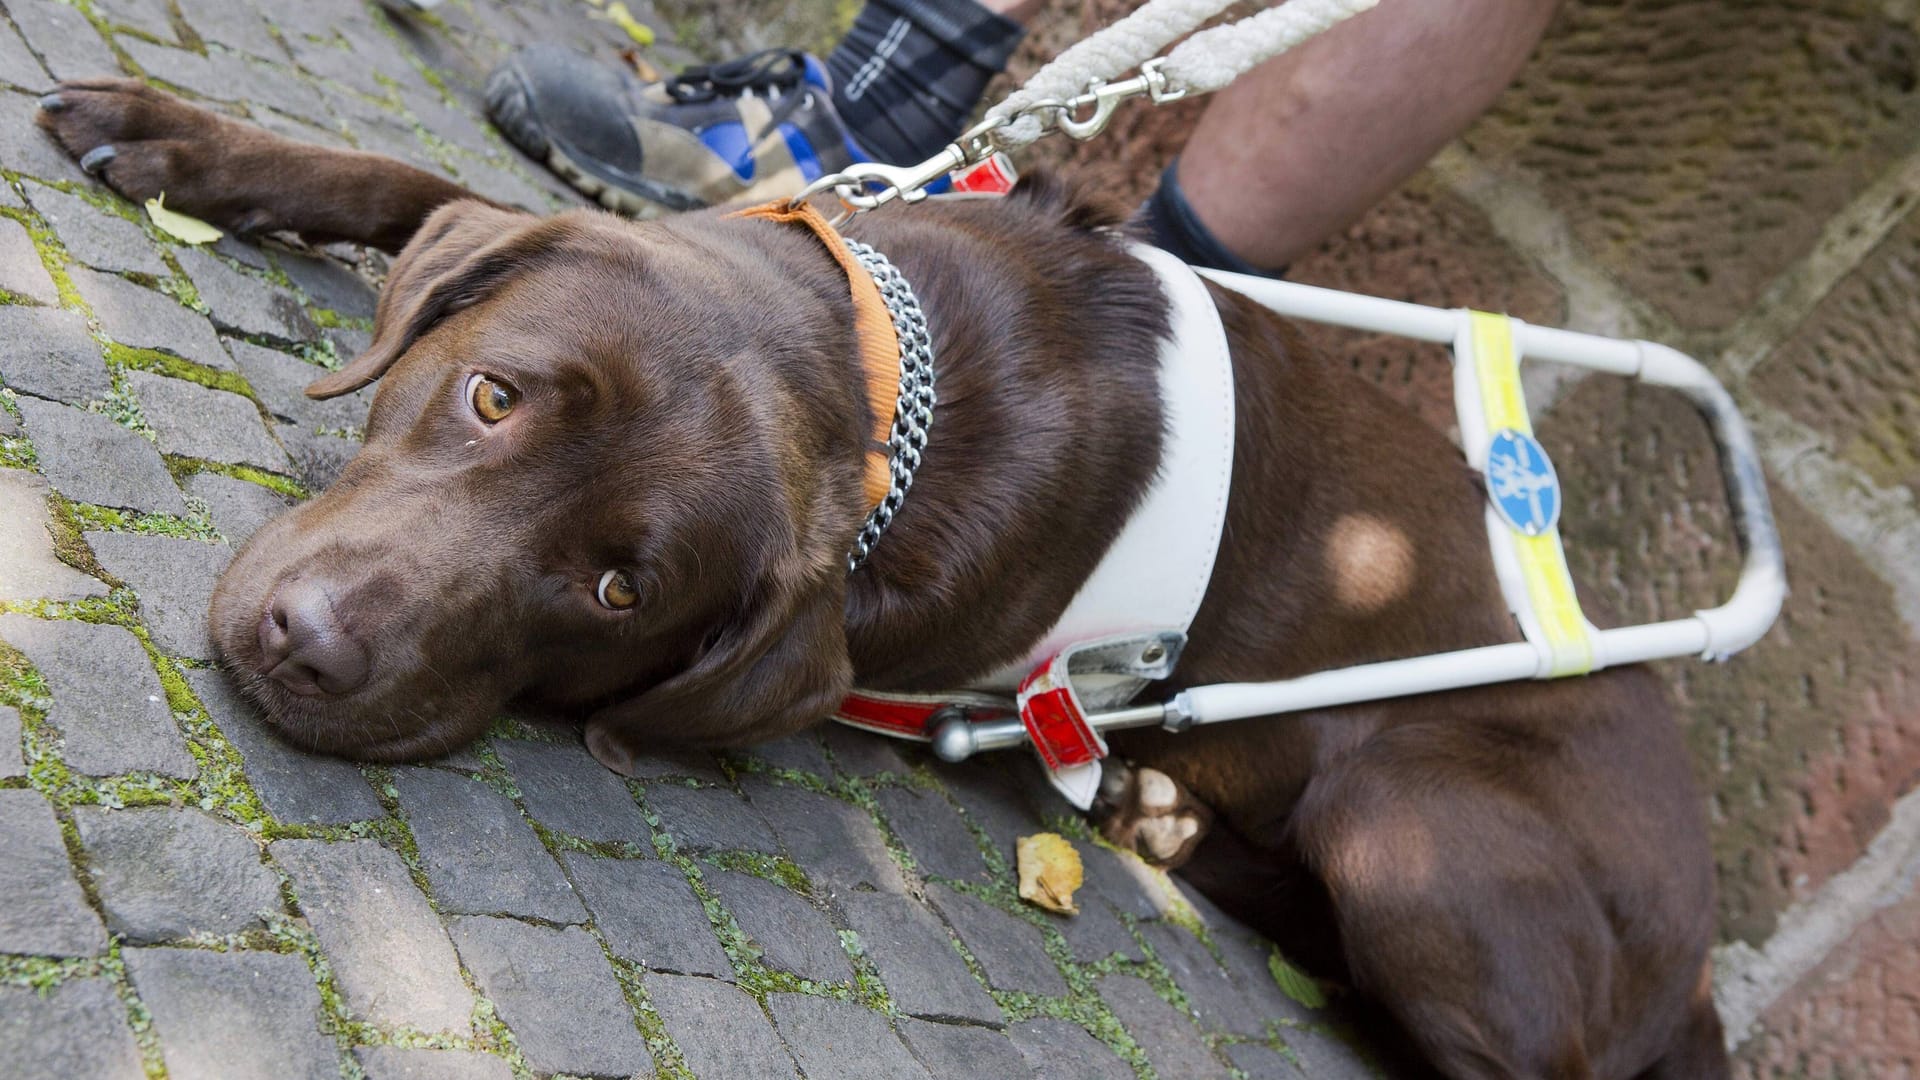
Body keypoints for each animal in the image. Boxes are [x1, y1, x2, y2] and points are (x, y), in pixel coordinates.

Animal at [41, 77, 1728, 1076]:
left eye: (618, 595)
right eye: (492, 397)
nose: (308, 648)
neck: (889, 379)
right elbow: (403, 179)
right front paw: (183, 139)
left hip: (1412, 827)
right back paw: (1151, 808)